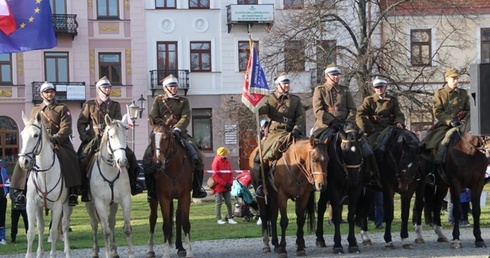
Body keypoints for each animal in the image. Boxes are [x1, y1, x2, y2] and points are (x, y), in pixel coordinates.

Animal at [18, 111, 72, 258]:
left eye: (36, 135)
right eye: (22, 135)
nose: (23, 161)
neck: (44, 173)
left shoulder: (57, 205)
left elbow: (53, 232)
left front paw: (53, 254)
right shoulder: (32, 204)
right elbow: (31, 232)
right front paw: (30, 254)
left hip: (67, 204)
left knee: (64, 226)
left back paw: (68, 251)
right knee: (41, 227)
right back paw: (40, 252)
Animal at [84, 114, 134, 258]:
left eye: (126, 135)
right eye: (111, 136)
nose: (122, 161)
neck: (110, 172)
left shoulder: (125, 200)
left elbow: (127, 229)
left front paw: (130, 254)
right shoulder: (100, 203)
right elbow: (105, 231)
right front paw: (106, 253)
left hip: (114, 204)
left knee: (111, 223)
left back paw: (114, 251)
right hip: (90, 204)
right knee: (95, 225)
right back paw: (96, 251)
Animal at [145, 121, 193, 258]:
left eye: (166, 138)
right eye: (151, 137)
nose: (157, 162)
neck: (172, 168)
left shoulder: (185, 196)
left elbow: (185, 223)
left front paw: (189, 252)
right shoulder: (164, 197)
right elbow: (166, 225)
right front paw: (165, 253)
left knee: (178, 217)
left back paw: (180, 247)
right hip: (154, 199)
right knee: (152, 219)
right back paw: (150, 249)